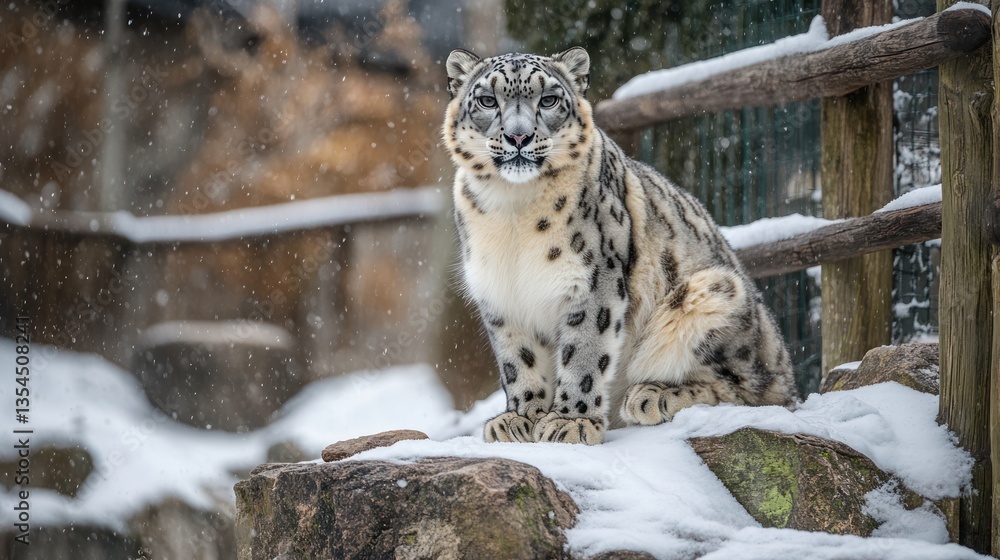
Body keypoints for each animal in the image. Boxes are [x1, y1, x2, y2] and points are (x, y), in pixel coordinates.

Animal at [443, 47, 796, 445]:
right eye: (488, 100)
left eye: (548, 99)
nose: (519, 137)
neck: (512, 210)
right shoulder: (500, 294)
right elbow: (519, 360)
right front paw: (519, 418)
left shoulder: (594, 281)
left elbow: (583, 352)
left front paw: (570, 422)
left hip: (715, 292)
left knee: (750, 392)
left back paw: (652, 396)